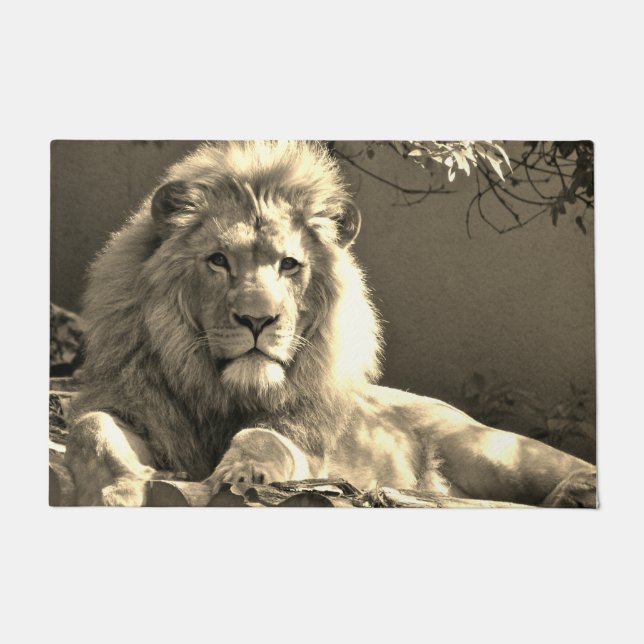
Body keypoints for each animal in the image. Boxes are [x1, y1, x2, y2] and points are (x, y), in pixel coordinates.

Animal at [64, 140, 596, 507]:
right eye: (218, 261)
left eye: (289, 265)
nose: (258, 319)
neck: (224, 394)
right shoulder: (137, 409)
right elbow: (91, 429)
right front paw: (117, 491)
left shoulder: (305, 443)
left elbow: (263, 439)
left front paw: (243, 473)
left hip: (490, 448)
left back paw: (579, 489)